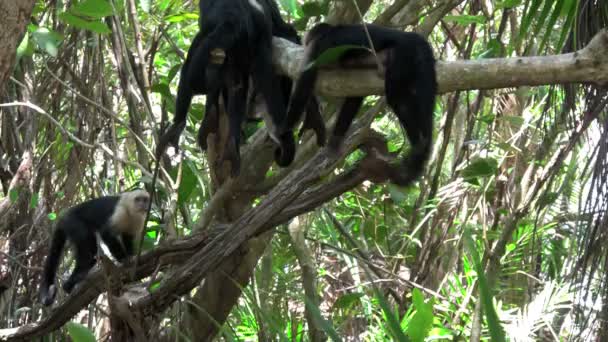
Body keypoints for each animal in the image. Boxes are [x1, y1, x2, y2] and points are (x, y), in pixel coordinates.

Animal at [280, 23, 436, 187]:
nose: (305, 42)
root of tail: (416, 38)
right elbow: (354, 97)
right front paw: (335, 142)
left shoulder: (320, 45)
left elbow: (305, 81)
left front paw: (284, 129)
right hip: (417, 59)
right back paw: (422, 144)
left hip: (405, 52)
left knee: (398, 98)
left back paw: (419, 144)